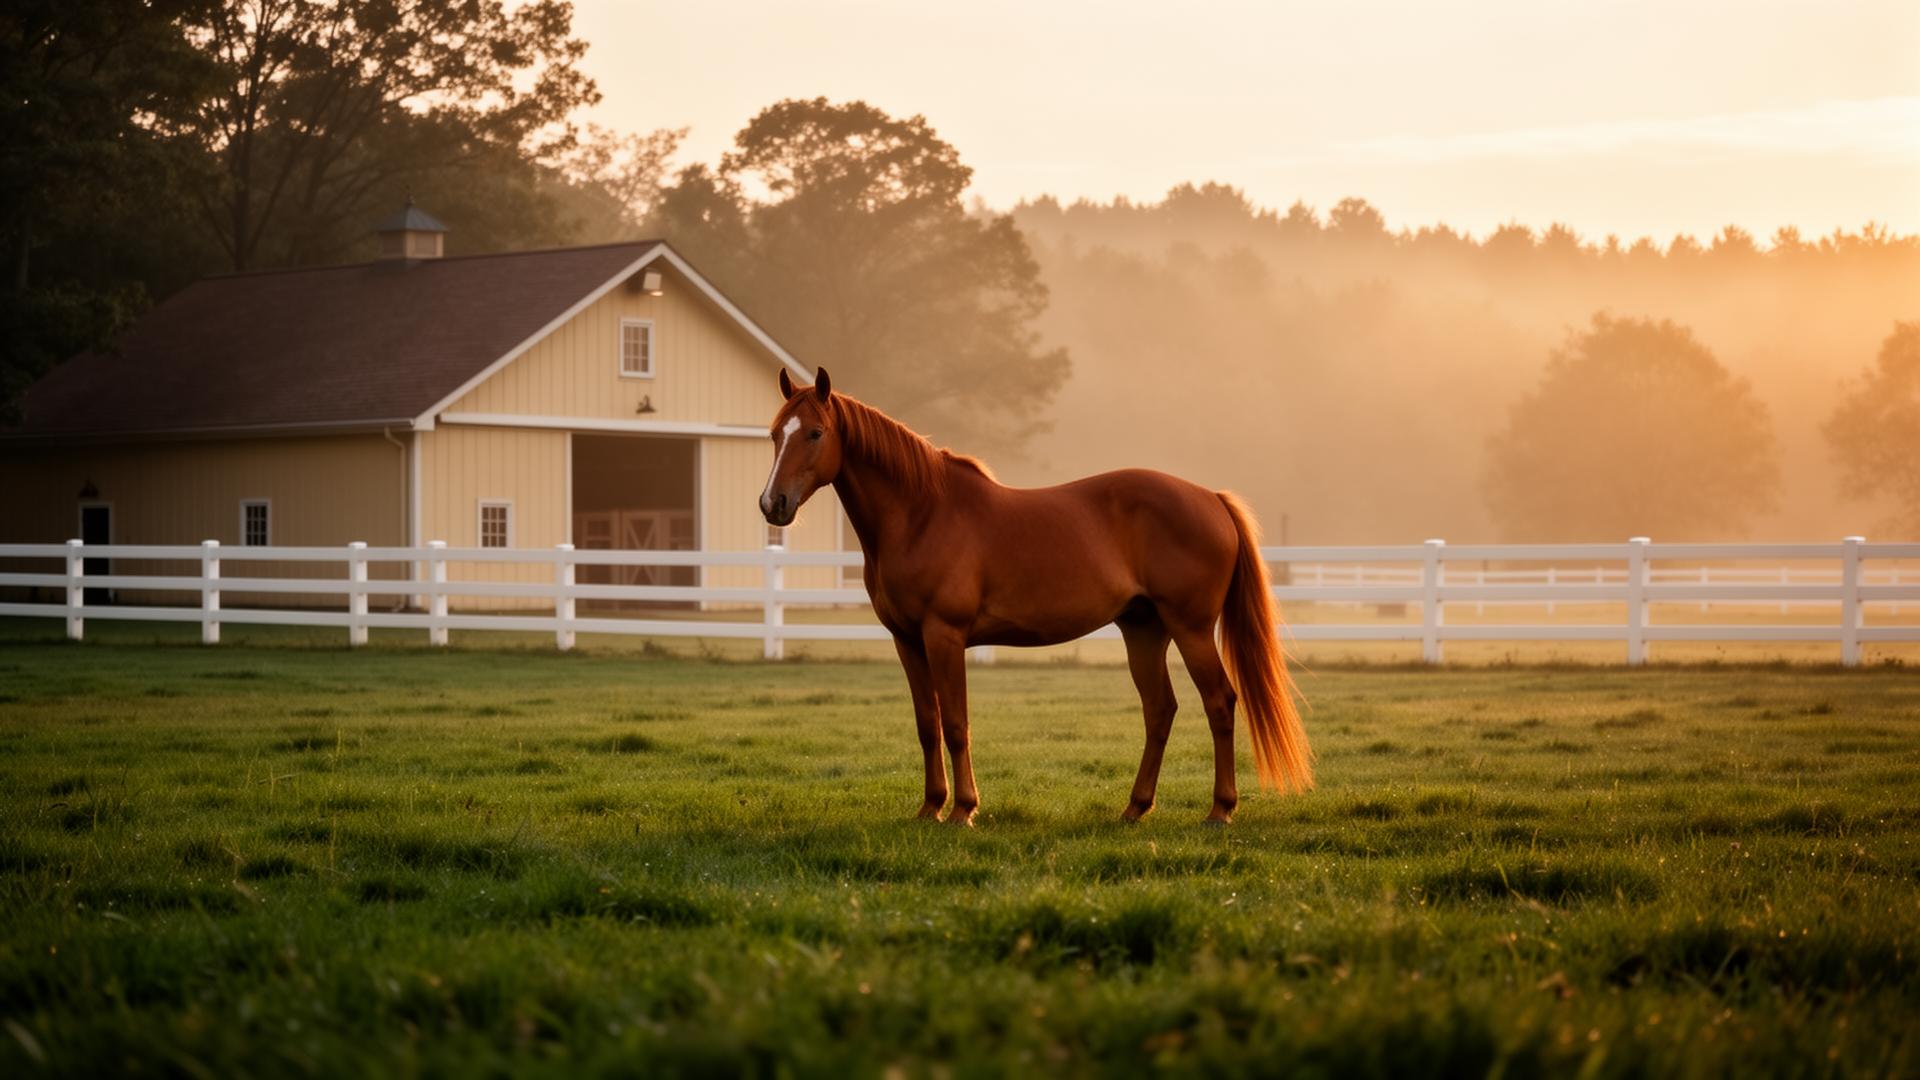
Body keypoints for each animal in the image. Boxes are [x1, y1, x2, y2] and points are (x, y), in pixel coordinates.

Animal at [760, 367, 1312, 825]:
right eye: (773, 434)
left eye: (815, 433)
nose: (773, 504)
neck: (921, 514)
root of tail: (1211, 498)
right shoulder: (907, 640)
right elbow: (927, 724)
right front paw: (930, 807)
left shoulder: (944, 636)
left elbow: (956, 723)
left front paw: (962, 810)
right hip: (1144, 629)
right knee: (1160, 710)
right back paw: (1135, 809)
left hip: (1190, 628)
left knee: (1219, 702)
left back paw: (1220, 810)